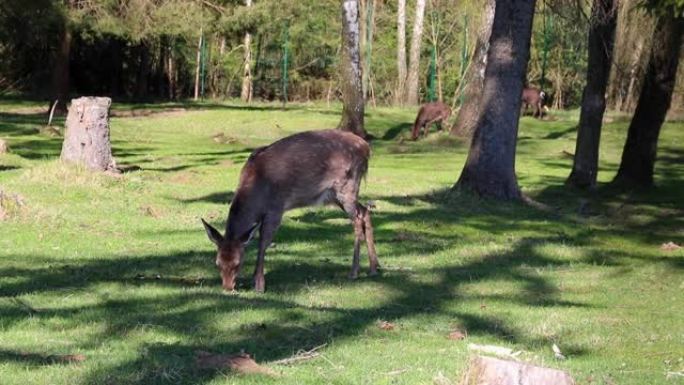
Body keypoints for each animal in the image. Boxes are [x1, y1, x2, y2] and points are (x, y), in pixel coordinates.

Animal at [200, 129, 380, 292]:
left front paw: (259, 284)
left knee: (357, 219)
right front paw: (254, 279)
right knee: (365, 211)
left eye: (238, 264)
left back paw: (354, 272)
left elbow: (263, 242)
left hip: (347, 186)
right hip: (335, 196)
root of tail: (366, 148)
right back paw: (374, 267)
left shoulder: (276, 208)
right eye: (217, 263)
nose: (227, 287)